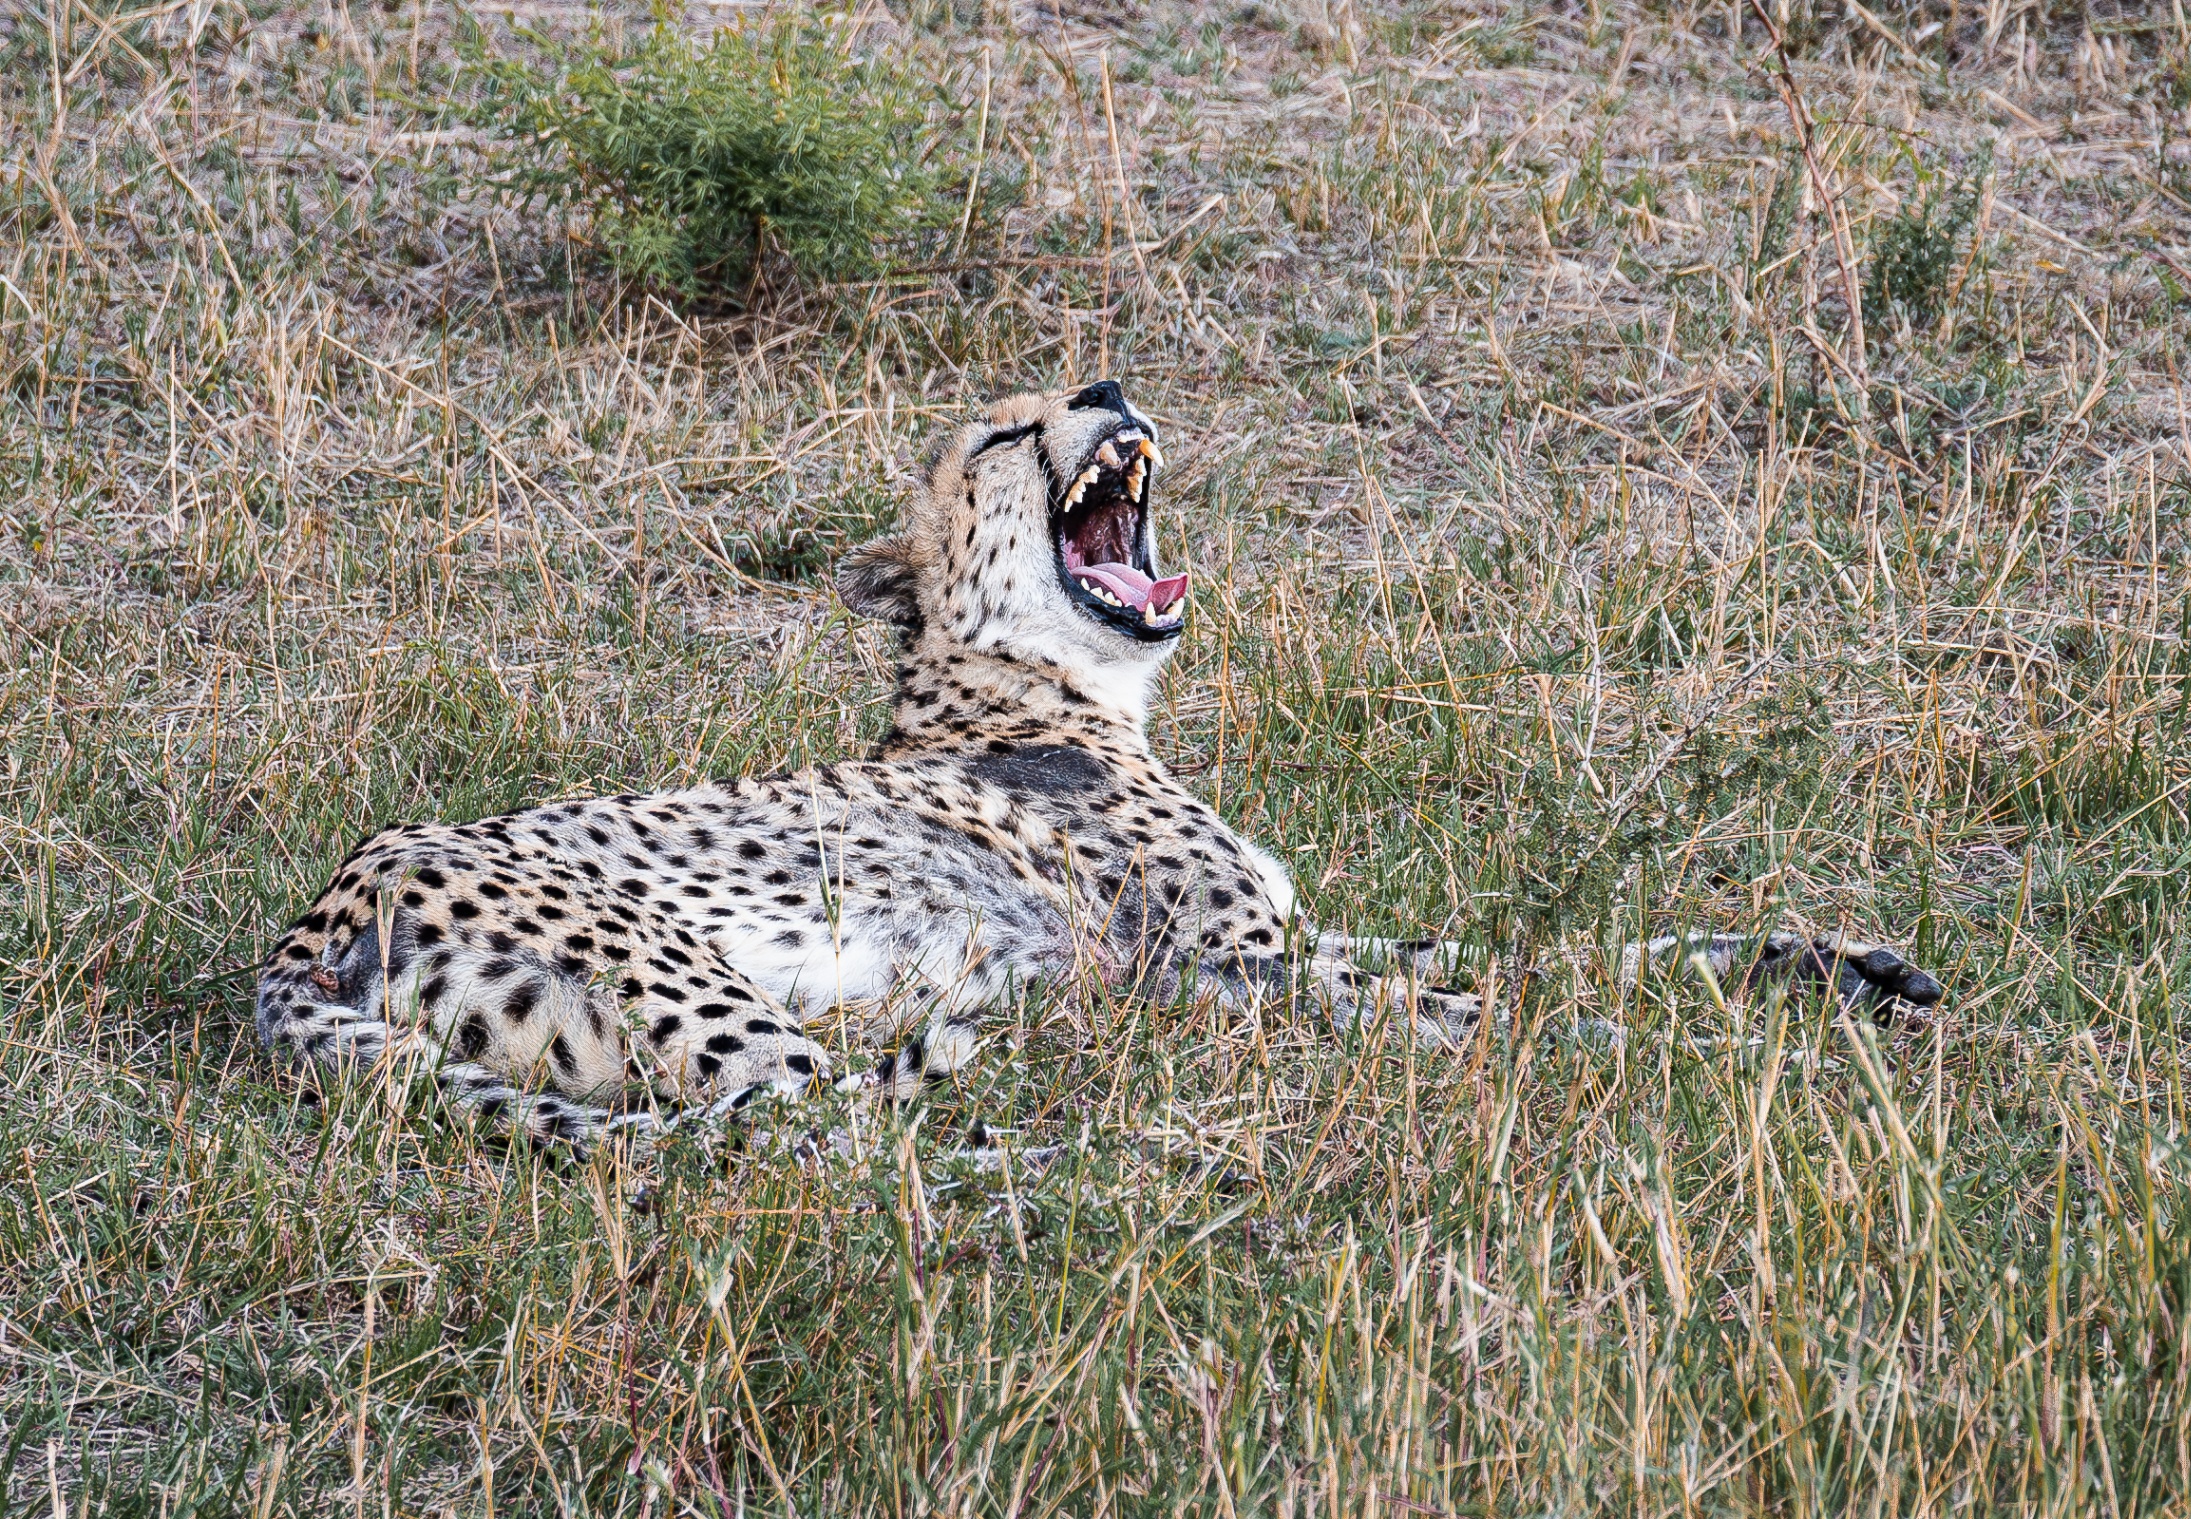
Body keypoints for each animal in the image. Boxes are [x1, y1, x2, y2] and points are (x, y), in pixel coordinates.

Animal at [254, 380, 1944, 1149]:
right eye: (1008, 431)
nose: (1111, 395)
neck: (1057, 689)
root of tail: (316, 909)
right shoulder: (1224, 959)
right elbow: (1492, 996)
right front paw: (1665, 1054)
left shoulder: (1280, 938)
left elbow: (1559, 944)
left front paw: (1821, 966)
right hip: (704, 988)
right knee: (824, 1135)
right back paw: (1086, 1147)